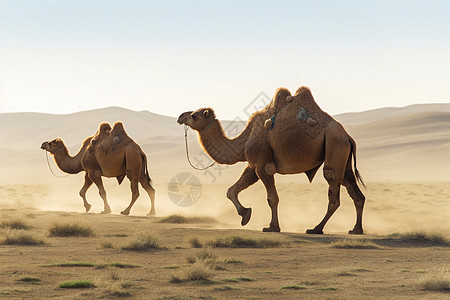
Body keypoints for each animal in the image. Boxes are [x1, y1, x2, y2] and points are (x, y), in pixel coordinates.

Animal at [177, 86, 366, 234]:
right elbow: (232, 190)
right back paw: (356, 229)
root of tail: (348, 137)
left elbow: (272, 198)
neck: (244, 140)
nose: (180, 117)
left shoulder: (263, 165)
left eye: (195, 116)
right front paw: (245, 215)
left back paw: (316, 228)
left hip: (335, 146)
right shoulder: (253, 165)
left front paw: (272, 227)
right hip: (343, 158)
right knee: (354, 191)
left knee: (333, 188)